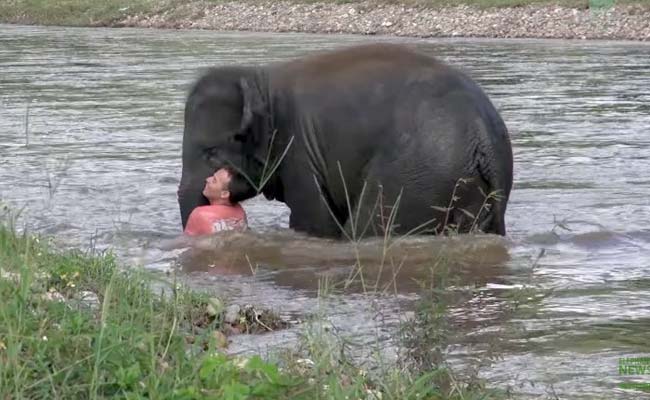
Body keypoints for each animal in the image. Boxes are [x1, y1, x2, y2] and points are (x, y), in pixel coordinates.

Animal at [176, 42, 512, 239]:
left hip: (416, 175)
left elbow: (313, 221)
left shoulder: (299, 152)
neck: (261, 79)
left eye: (210, 153)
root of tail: (482, 134)